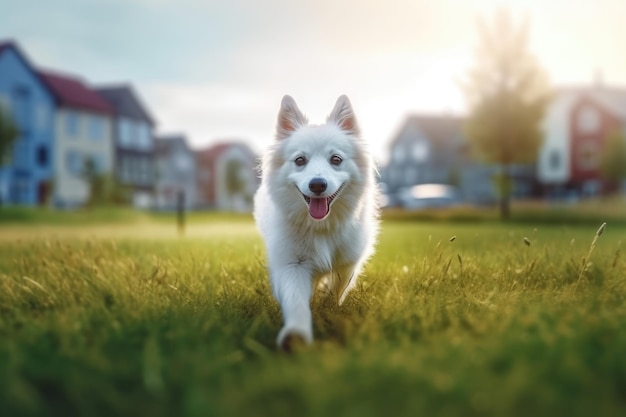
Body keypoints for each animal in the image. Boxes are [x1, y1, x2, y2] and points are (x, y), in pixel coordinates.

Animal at [251, 94, 378, 348]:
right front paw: (296, 334)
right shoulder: (292, 265)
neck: (321, 226)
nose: (317, 184)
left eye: (336, 159)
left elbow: (338, 288)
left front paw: (328, 308)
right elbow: (296, 301)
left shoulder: (348, 262)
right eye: (300, 160)